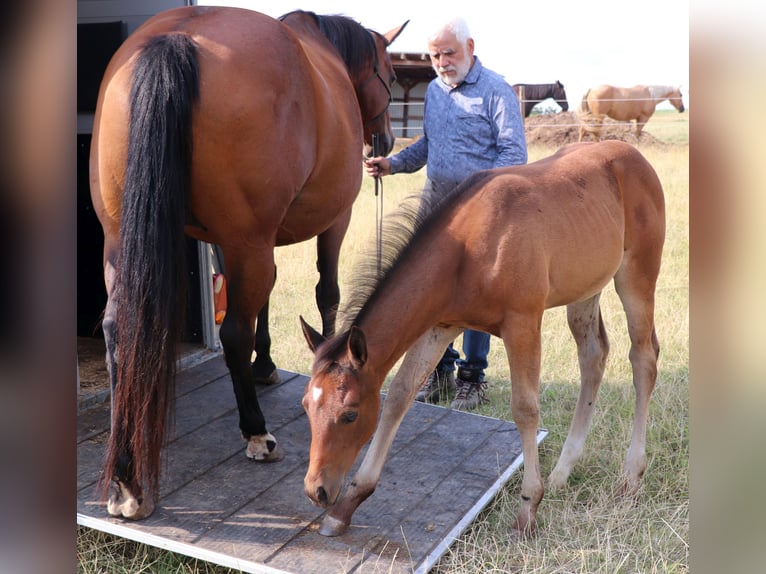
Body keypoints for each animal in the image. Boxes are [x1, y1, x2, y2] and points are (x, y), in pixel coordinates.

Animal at [89, 5, 407, 520]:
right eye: (391, 75)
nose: (386, 140)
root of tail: (177, 37)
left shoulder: (246, 242)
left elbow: (268, 296)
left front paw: (267, 362)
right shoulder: (329, 222)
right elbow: (326, 294)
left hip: (121, 240)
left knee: (120, 331)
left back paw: (126, 481)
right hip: (246, 240)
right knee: (232, 333)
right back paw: (256, 432)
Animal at [299, 140, 665, 537]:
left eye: (350, 415)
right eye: (306, 406)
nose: (317, 491)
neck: (468, 249)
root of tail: (634, 155)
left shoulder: (523, 323)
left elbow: (525, 408)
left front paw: (528, 508)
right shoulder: (439, 326)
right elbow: (399, 395)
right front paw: (348, 504)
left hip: (637, 276)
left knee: (643, 358)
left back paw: (631, 478)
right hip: (585, 289)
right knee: (593, 356)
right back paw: (561, 473)